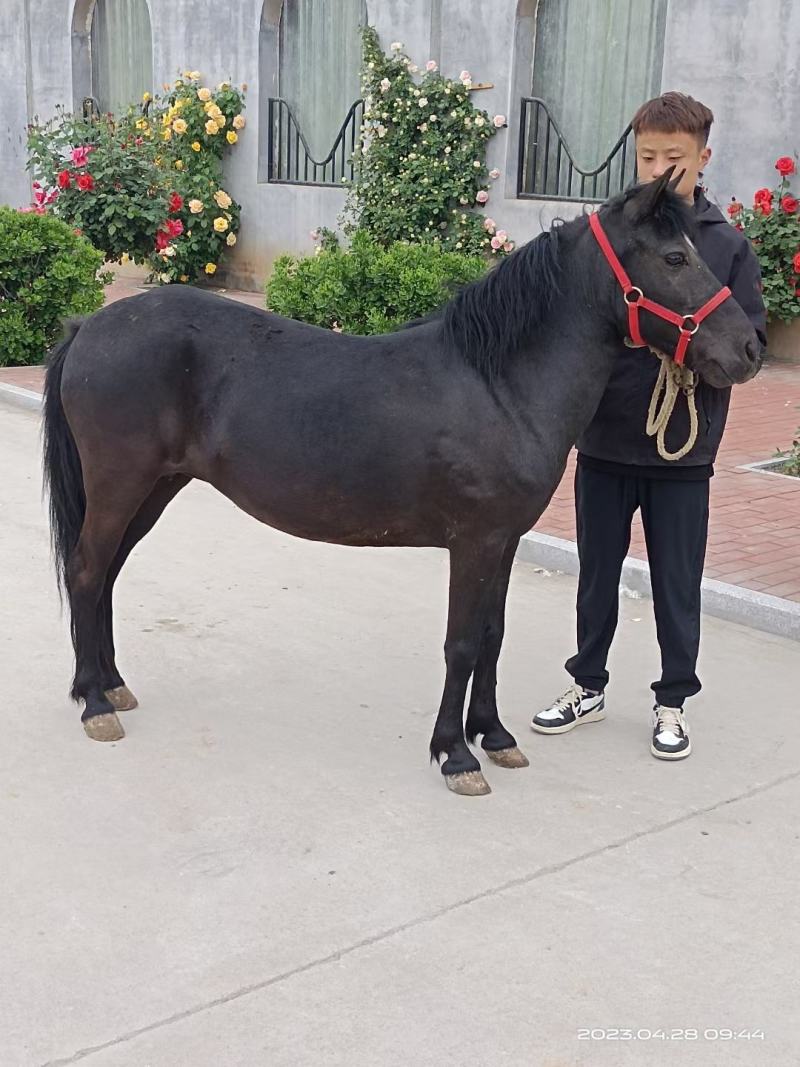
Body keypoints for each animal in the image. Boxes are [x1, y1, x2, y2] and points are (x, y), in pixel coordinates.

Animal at [42, 169, 760, 796]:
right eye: (674, 258)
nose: (749, 348)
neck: (500, 384)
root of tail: (89, 326)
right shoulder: (473, 542)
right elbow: (461, 643)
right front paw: (456, 755)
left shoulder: (503, 542)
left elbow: (492, 637)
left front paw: (495, 737)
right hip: (121, 485)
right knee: (86, 572)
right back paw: (93, 703)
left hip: (153, 488)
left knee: (105, 576)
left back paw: (112, 686)